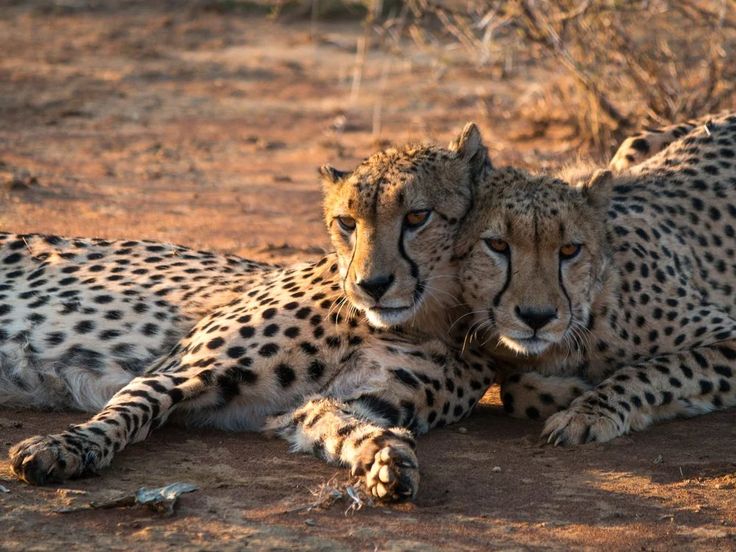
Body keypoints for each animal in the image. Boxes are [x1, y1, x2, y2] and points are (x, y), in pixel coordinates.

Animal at [5, 123, 497, 502]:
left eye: (417, 217)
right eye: (347, 222)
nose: (370, 286)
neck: (419, 321)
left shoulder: (330, 405)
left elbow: (343, 427)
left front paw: (386, 457)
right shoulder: (177, 368)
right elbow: (131, 407)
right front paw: (65, 447)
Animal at [456, 111, 736, 445]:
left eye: (569, 249)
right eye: (498, 244)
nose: (537, 317)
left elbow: (656, 369)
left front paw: (588, 413)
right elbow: (514, 389)